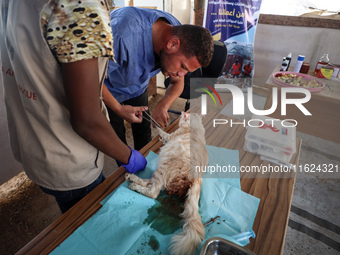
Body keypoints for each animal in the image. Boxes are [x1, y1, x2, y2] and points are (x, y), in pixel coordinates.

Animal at [126, 113, 209, 255]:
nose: (181, 115)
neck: (194, 128)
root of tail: (197, 179)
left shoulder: (172, 136)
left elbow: (164, 133)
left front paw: (157, 128)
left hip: (162, 169)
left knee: (153, 191)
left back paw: (133, 184)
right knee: (149, 183)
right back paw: (131, 177)